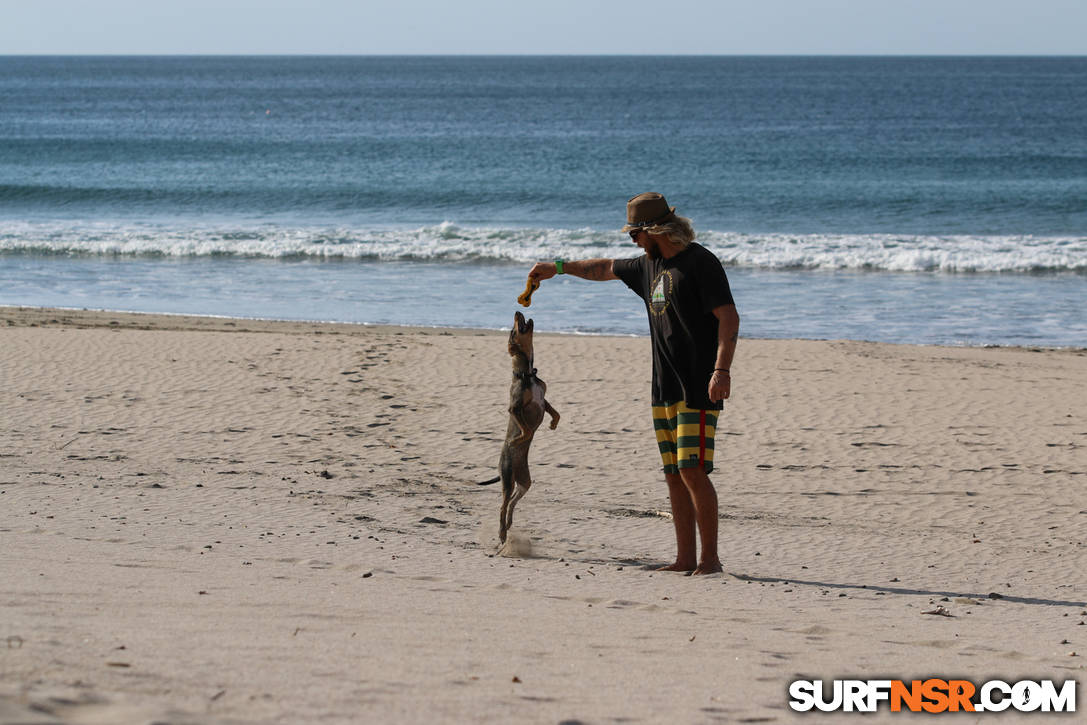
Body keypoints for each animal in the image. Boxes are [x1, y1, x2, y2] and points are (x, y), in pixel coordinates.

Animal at [497, 313, 556, 543]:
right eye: (514, 331)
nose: (517, 312)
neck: (527, 374)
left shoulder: (543, 399)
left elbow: (556, 413)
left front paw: (553, 424)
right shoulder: (514, 408)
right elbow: (528, 430)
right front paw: (517, 440)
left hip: (525, 480)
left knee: (513, 500)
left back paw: (509, 523)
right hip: (508, 476)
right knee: (503, 504)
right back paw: (502, 532)